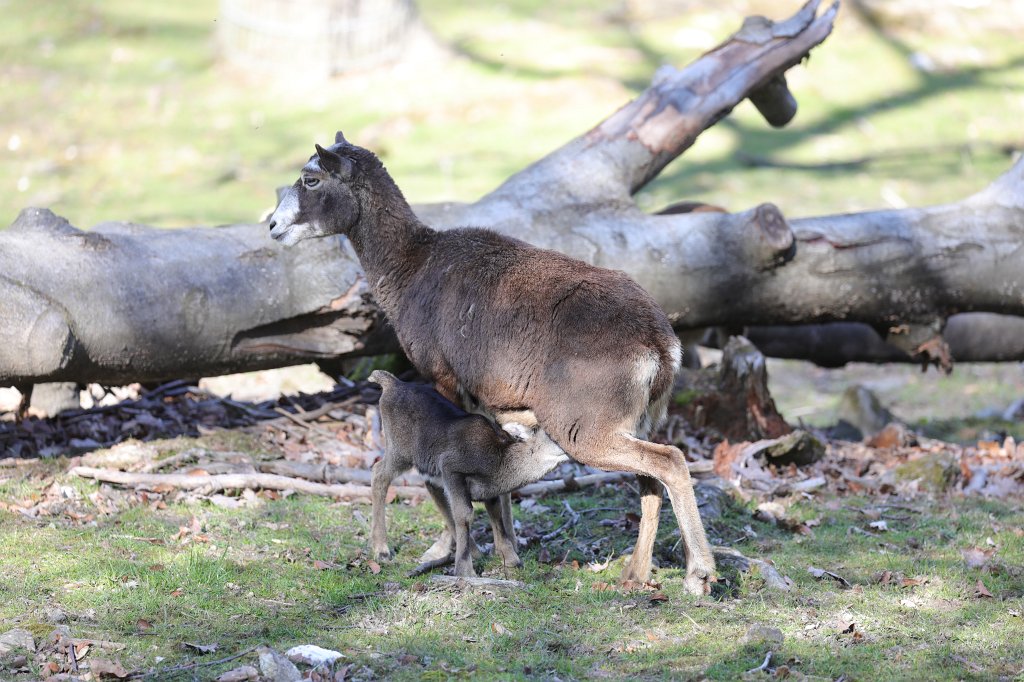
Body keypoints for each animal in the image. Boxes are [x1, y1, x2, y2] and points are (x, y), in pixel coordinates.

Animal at [268, 132, 715, 594]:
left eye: (311, 178)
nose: (273, 227)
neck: (411, 270)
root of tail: (661, 345)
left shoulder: (444, 379)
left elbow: (439, 477)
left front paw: (445, 550)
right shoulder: (490, 401)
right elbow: (498, 480)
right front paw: (508, 552)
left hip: (586, 430)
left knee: (669, 463)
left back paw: (698, 576)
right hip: (640, 421)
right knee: (650, 482)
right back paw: (635, 574)